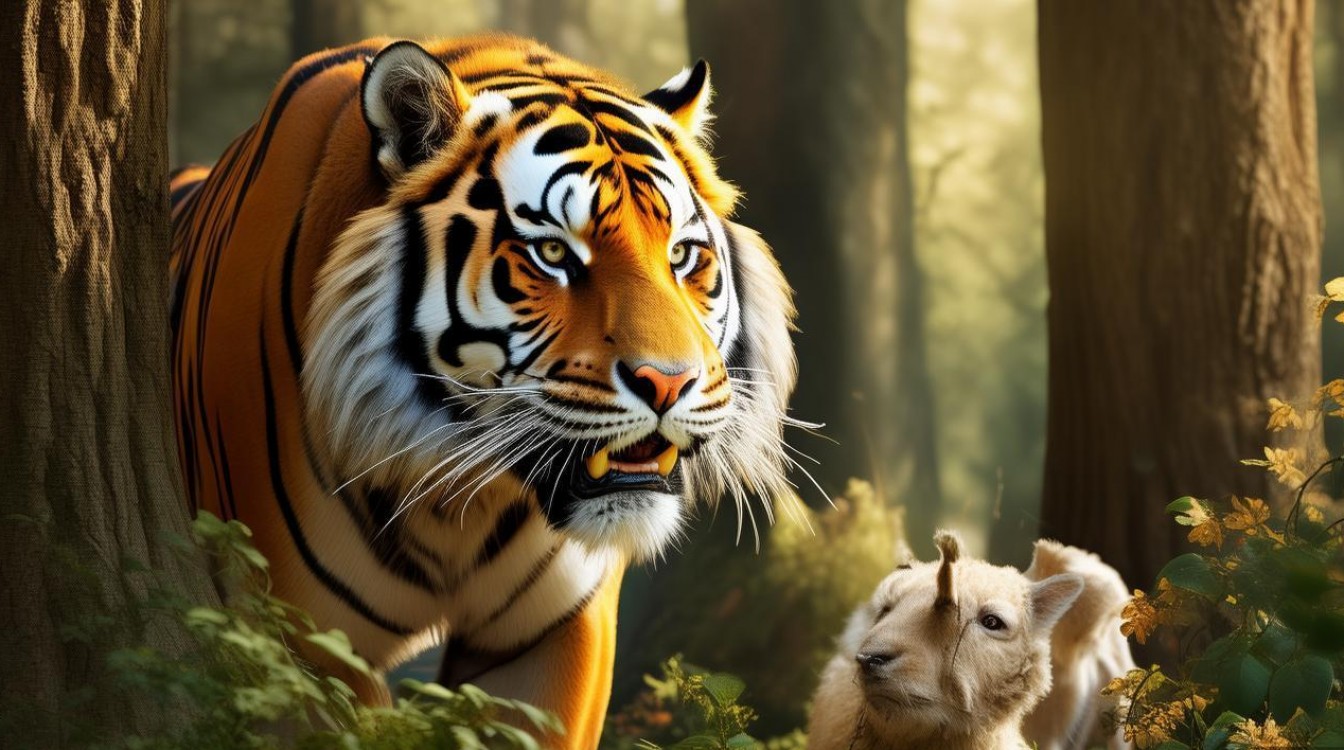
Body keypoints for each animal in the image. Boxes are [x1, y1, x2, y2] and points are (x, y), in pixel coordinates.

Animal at [168, 34, 797, 748]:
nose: (669, 381)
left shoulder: (553, 635)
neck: (456, 506)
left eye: (682, 255)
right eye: (553, 254)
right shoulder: (298, 639)